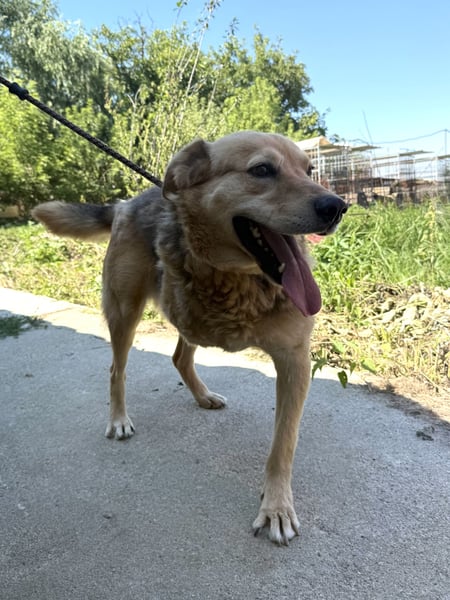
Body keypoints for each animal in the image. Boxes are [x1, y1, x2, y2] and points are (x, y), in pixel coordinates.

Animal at [32, 131, 347, 545]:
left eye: (310, 170)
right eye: (262, 170)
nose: (337, 206)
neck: (239, 278)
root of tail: (126, 203)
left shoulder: (294, 360)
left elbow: (283, 444)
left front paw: (276, 506)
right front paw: (277, 508)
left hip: (184, 320)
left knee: (180, 355)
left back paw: (202, 395)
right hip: (125, 311)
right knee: (117, 370)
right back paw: (119, 419)